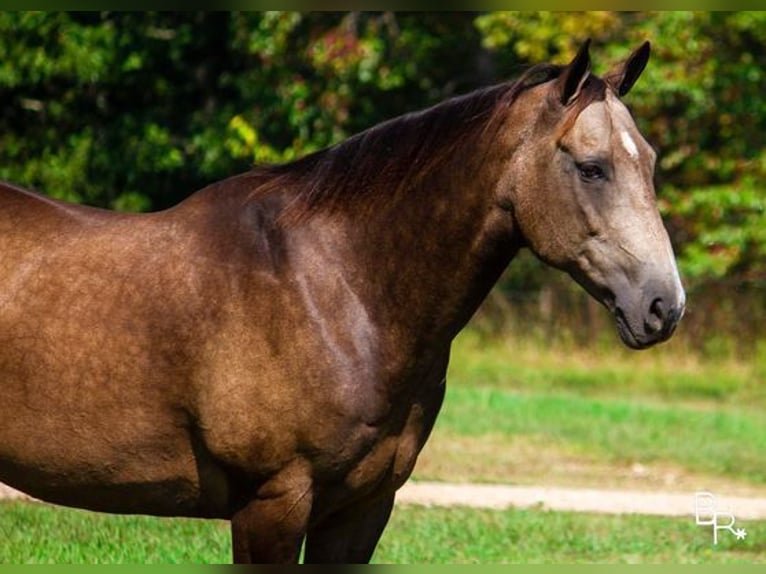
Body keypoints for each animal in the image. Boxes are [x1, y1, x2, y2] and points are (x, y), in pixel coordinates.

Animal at [0, 41, 684, 568]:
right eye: (592, 168)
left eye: (648, 162)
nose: (664, 305)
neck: (335, 291)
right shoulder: (271, 504)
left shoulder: (361, 510)